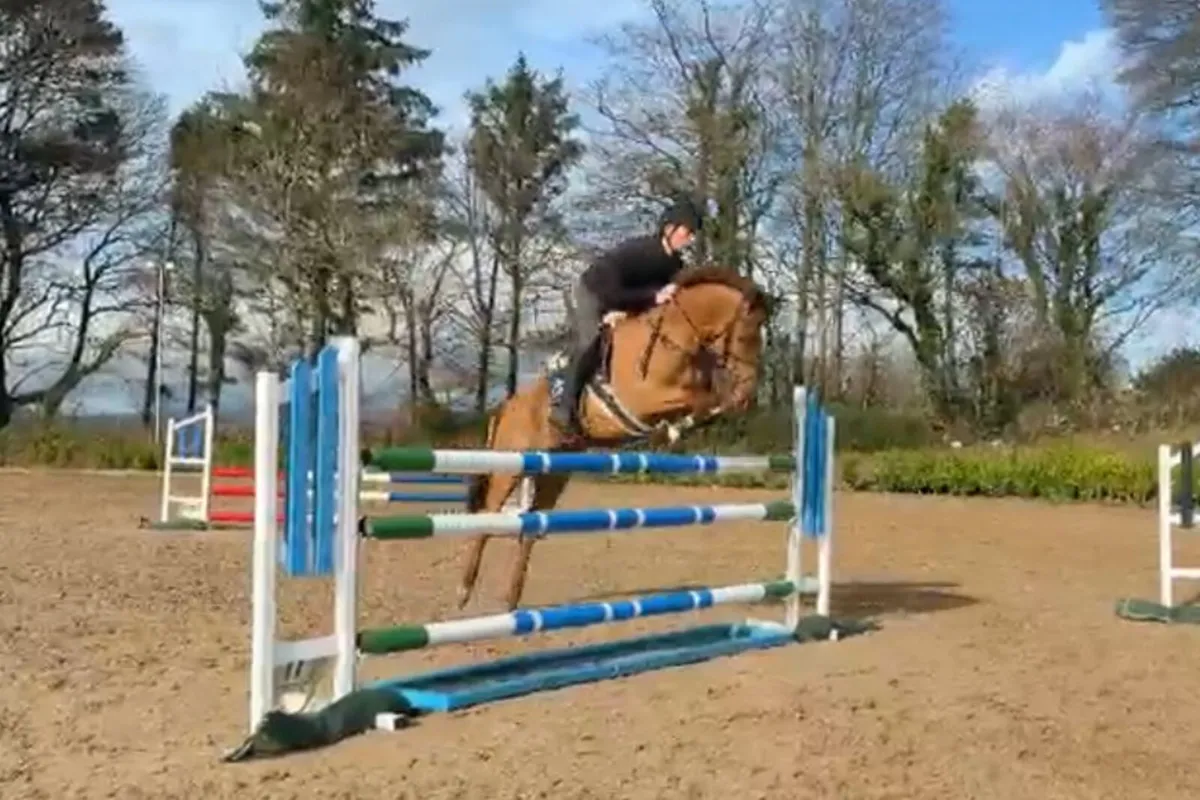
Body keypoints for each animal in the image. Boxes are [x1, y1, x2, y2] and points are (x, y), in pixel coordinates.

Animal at [457, 265, 774, 611]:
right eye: (746, 336)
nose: (748, 396)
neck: (675, 336)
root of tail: (506, 407)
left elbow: (707, 401)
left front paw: (678, 428)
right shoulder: (644, 397)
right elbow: (700, 398)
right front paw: (673, 428)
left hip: (553, 472)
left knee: (530, 526)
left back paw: (511, 602)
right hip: (510, 466)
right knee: (489, 516)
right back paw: (464, 591)